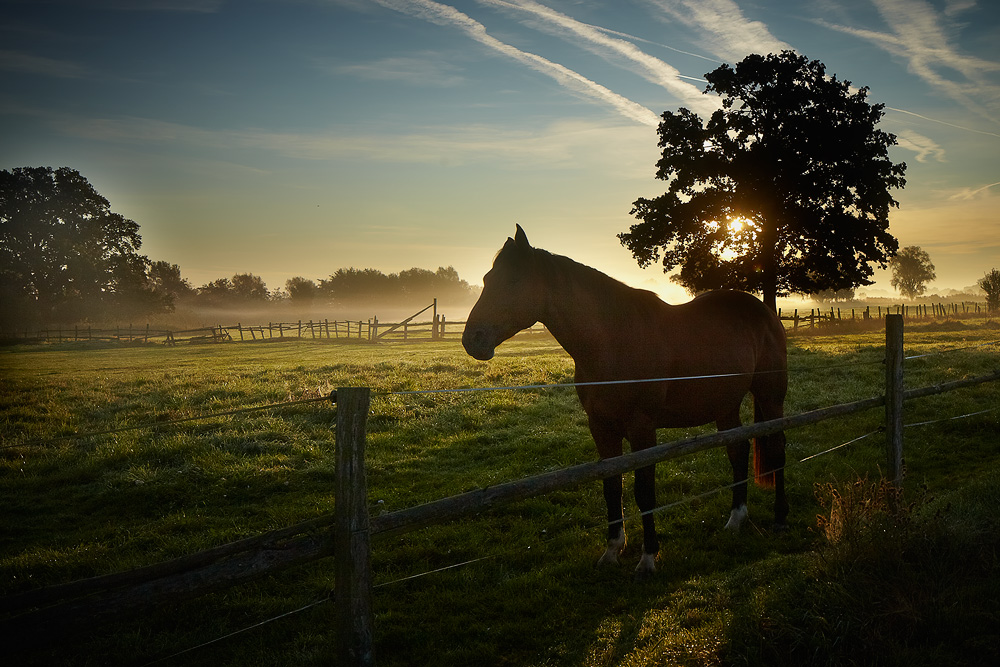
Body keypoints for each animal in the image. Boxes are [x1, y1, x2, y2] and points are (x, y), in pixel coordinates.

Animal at [462, 227, 788, 576]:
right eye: (487, 279)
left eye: (513, 281)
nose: (472, 340)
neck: (613, 340)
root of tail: (765, 312)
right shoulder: (602, 427)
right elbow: (611, 487)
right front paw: (612, 550)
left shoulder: (642, 429)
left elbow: (644, 492)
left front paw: (648, 558)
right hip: (724, 406)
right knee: (738, 452)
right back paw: (736, 520)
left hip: (771, 397)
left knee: (777, 449)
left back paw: (780, 519)